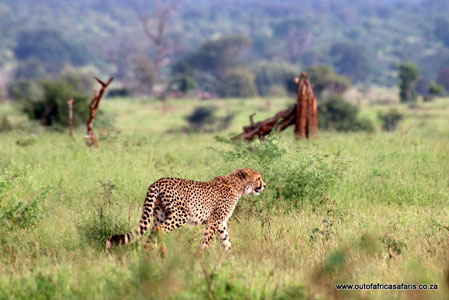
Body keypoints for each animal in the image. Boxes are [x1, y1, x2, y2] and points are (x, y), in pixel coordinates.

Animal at [106, 169, 264, 251]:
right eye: (258, 178)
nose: (264, 185)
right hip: (181, 215)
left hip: (160, 215)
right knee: (160, 230)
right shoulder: (214, 221)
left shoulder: (221, 223)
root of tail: (157, 181)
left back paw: (149, 256)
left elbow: (226, 241)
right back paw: (163, 254)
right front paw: (202, 257)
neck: (238, 185)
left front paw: (228, 260)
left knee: (152, 234)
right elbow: (207, 241)